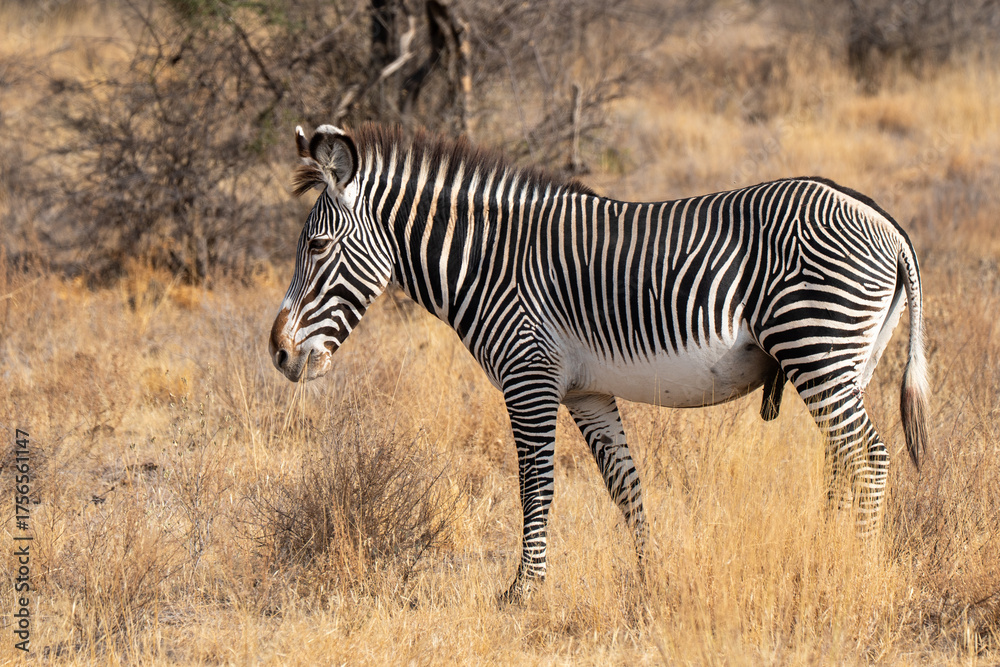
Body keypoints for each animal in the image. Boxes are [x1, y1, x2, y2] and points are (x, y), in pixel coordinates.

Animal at [269, 123, 929, 602]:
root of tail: (883, 219)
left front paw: (523, 592)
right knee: (841, 458)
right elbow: (625, 485)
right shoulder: (585, 391)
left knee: (867, 455)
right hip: (846, 360)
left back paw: (854, 570)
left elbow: (535, 486)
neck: (490, 263)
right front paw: (651, 577)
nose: (278, 353)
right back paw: (827, 553)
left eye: (317, 247)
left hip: (816, 342)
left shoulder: (529, 374)